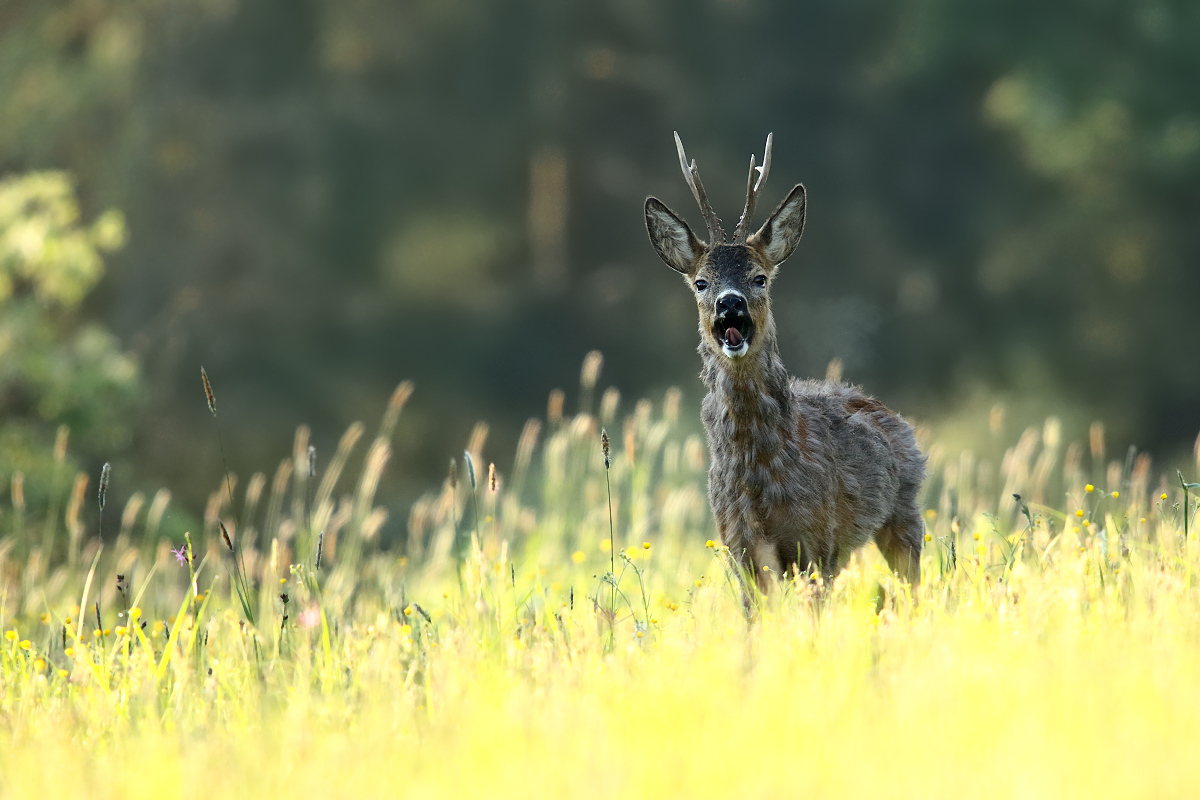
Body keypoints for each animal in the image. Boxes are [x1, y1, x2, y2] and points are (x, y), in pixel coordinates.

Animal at [643, 133, 921, 594]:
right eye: (701, 282)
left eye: (759, 277)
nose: (729, 302)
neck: (759, 473)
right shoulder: (738, 544)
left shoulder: (819, 538)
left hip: (905, 509)